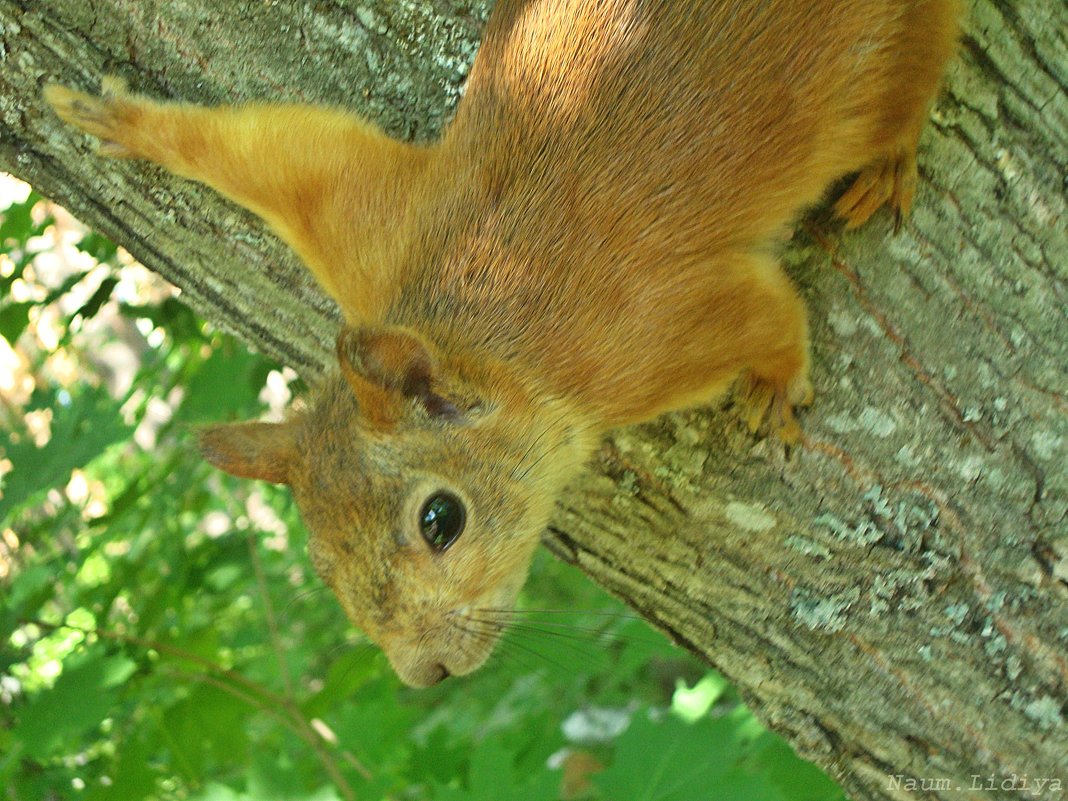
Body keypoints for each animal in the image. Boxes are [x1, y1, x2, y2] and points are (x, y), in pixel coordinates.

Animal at [45, 0, 961, 692]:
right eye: (322, 564)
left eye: (441, 520)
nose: (426, 673)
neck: (472, 320)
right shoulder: (371, 228)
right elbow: (271, 146)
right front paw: (123, 121)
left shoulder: (657, 335)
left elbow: (770, 315)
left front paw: (774, 383)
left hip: (881, 63)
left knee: (913, 76)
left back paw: (890, 158)